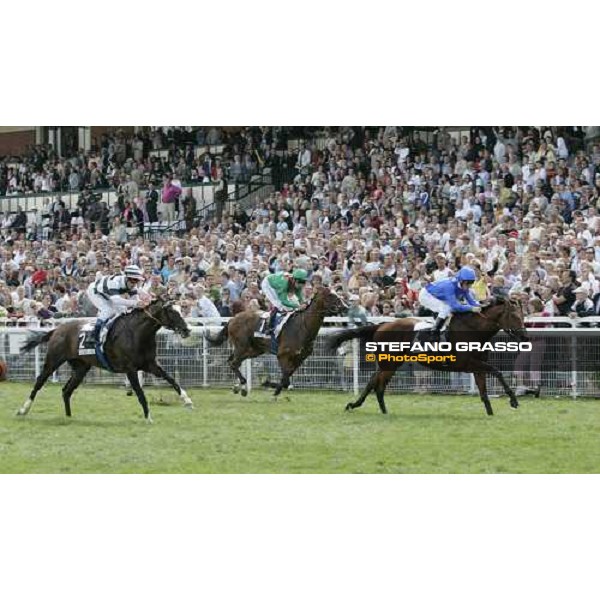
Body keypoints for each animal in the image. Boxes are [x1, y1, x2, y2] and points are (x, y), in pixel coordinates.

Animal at [17, 296, 192, 422]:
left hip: (81, 368)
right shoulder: (130, 369)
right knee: (39, 382)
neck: (138, 333)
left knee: (66, 391)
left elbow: (171, 379)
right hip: (53, 360)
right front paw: (148, 417)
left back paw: (69, 417)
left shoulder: (150, 364)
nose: (187, 330)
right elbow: (140, 393)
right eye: (172, 312)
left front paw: (187, 400)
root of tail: (57, 329)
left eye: (181, 310)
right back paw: (23, 409)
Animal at [206, 288, 346, 396]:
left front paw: (271, 385)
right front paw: (268, 384)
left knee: (232, 361)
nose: (345, 306)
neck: (302, 327)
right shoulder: (282, 355)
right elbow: (286, 380)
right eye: (330, 295)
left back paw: (238, 387)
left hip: (253, 350)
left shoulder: (300, 358)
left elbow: (286, 378)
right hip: (242, 346)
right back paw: (243, 385)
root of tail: (232, 319)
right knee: (234, 363)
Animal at [326, 296, 528, 418]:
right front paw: (513, 400)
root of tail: (381, 325)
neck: (473, 330)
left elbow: (484, 391)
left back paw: (377, 409)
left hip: (391, 364)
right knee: (375, 383)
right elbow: (497, 371)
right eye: (515, 316)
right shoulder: (469, 363)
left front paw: (491, 414)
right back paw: (363, 406)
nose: (525, 337)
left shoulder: (477, 365)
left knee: (376, 384)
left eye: (523, 316)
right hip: (388, 363)